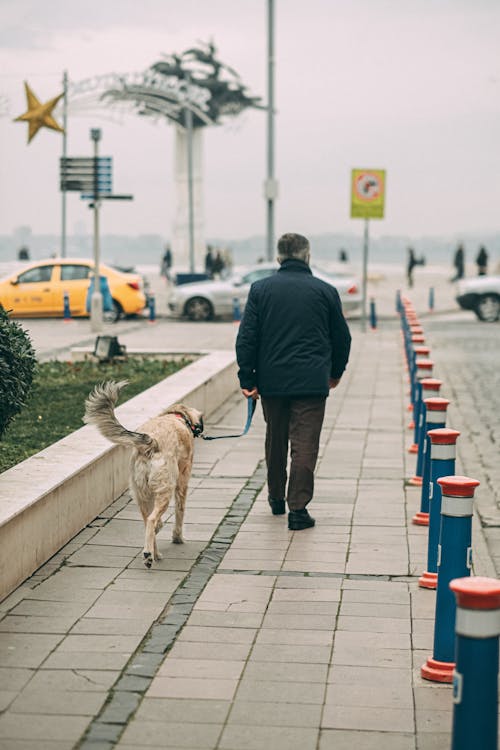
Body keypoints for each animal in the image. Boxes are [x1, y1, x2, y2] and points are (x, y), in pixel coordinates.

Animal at [84, 382, 203, 568]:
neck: (176, 417)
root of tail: (151, 443)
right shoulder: (182, 484)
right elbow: (180, 512)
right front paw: (177, 537)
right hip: (165, 490)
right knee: (152, 519)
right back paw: (149, 554)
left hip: (141, 494)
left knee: (148, 522)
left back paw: (154, 553)